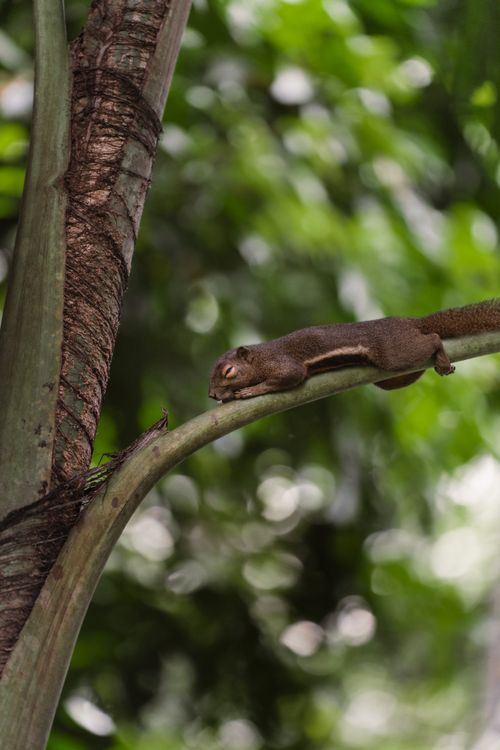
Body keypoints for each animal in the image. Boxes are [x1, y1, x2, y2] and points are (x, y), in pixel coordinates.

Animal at [208, 300, 500, 402]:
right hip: (393, 376)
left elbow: (290, 376)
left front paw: (251, 390)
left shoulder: (283, 363)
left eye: (229, 371)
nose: (211, 394)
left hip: (396, 353)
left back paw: (441, 354)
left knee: (434, 337)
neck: (260, 358)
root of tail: (409, 322)